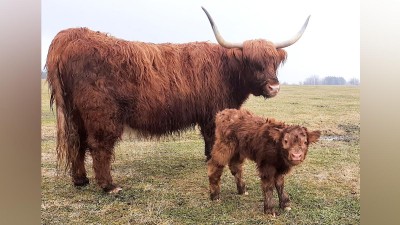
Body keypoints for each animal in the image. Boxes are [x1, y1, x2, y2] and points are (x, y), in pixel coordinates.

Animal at [46, 7, 310, 193]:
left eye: (274, 62)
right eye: (252, 63)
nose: (274, 87)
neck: (226, 70)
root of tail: (69, 35)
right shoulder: (213, 113)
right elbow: (212, 138)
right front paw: (213, 159)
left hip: (75, 114)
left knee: (78, 143)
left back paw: (80, 179)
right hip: (102, 114)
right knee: (99, 146)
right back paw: (108, 185)